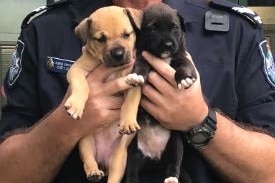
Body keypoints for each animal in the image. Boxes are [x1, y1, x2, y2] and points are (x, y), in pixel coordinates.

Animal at [64, 6, 142, 183]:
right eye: (101, 39)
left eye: (127, 35)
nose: (118, 54)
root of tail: (103, 162)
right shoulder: (76, 70)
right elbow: (81, 85)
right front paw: (76, 105)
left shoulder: (133, 80)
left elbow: (131, 101)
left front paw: (128, 121)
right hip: (85, 143)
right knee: (88, 160)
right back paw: (94, 172)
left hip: (119, 158)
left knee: (114, 176)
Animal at [125, 2, 196, 183]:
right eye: (153, 28)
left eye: (174, 27)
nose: (168, 45)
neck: (163, 58)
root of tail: (154, 158)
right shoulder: (143, 57)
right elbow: (141, 66)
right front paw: (136, 76)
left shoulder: (183, 58)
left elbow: (184, 67)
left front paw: (184, 79)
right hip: (133, 151)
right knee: (132, 171)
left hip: (175, 145)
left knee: (173, 164)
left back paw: (171, 178)